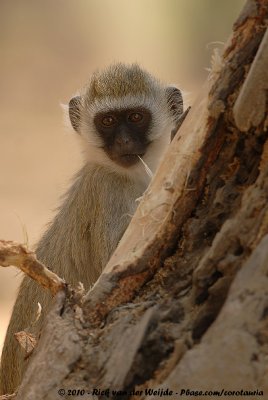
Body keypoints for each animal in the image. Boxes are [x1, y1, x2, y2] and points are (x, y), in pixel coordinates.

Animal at [0, 63, 183, 394]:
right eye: (107, 121)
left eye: (135, 117)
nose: (124, 143)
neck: (127, 174)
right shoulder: (106, 189)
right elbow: (114, 268)